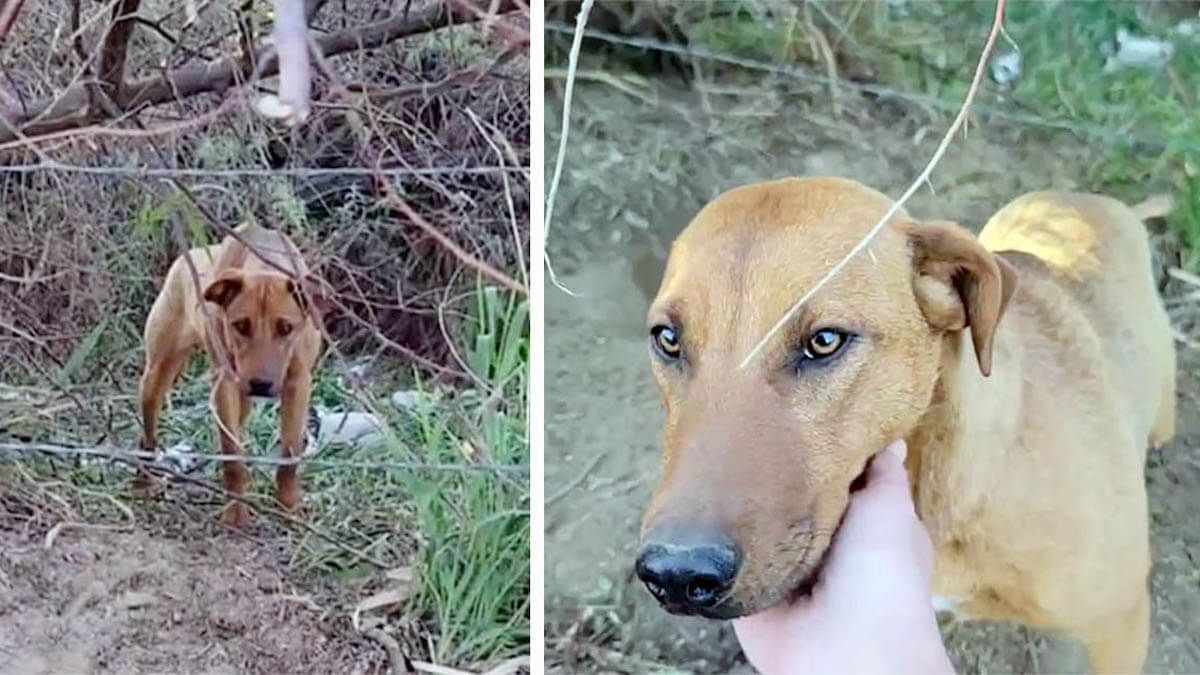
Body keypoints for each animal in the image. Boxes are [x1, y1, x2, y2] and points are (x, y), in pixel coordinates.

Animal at [138, 222, 326, 526]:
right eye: (240, 325)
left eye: (286, 328)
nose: (260, 384)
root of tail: (183, 259)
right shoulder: (225, 381)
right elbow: (232, 453)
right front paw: (235, 512)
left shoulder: (298, 381)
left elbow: (289, 454)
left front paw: (288, 506)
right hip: (157, 374)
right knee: (148, 431)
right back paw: (142, 482)